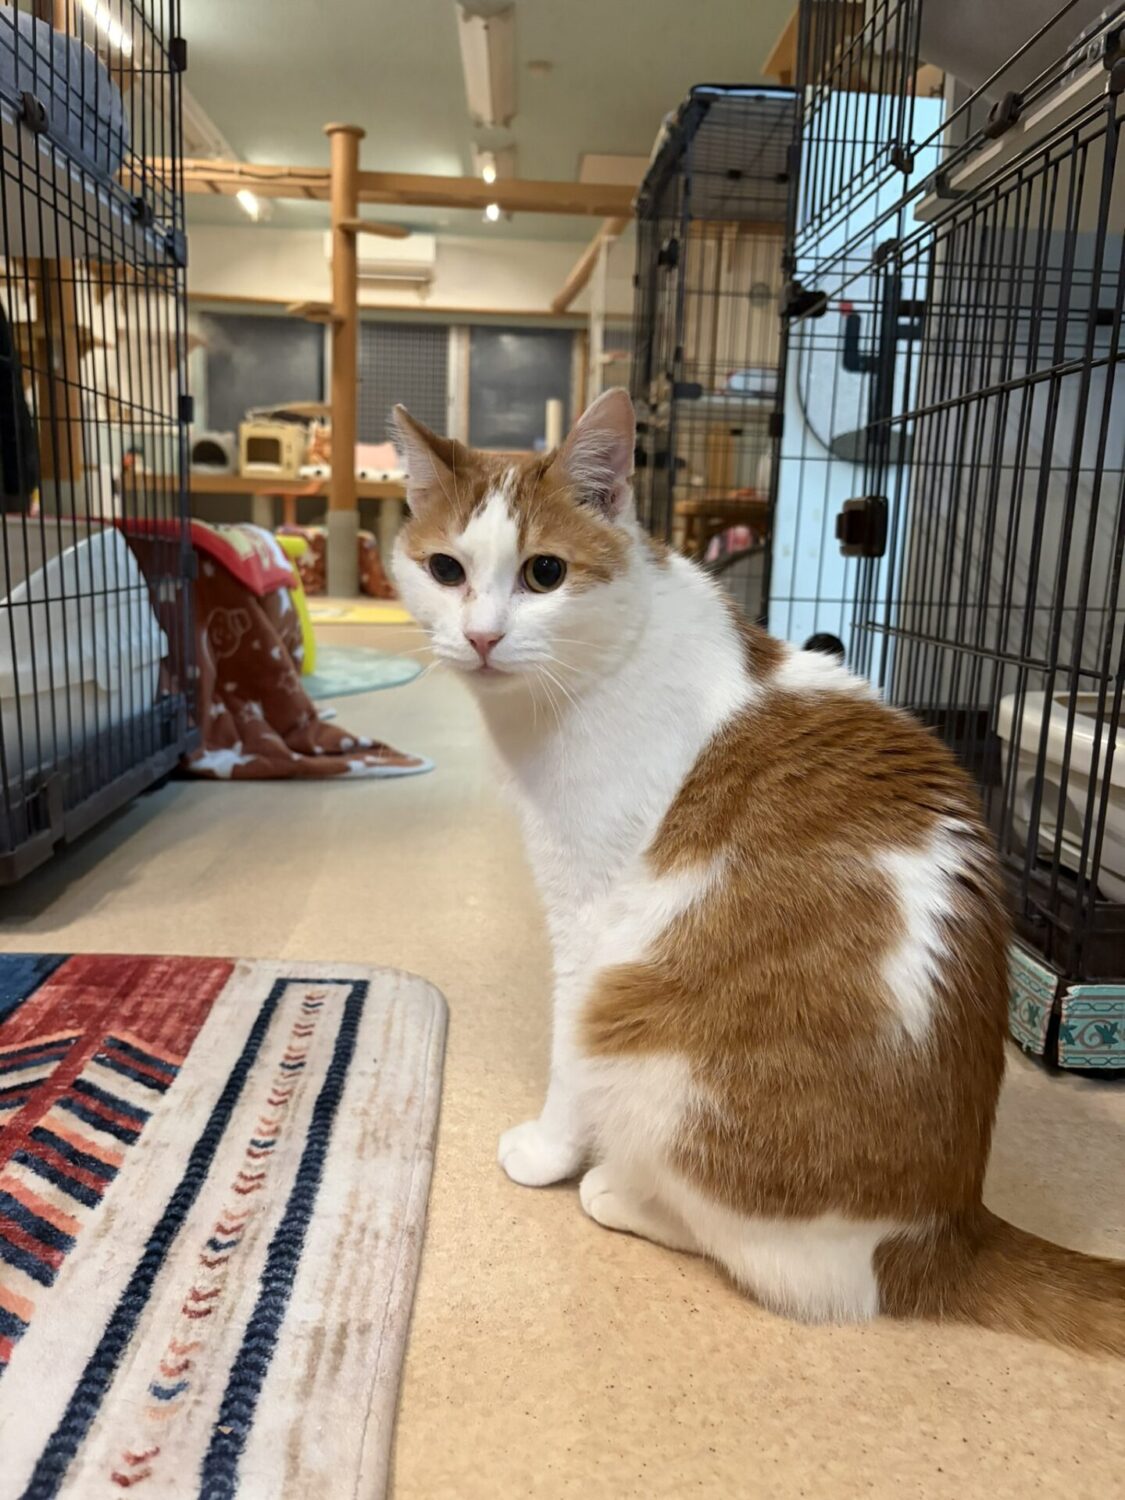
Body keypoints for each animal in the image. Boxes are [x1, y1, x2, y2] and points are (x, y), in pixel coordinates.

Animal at [391, 389, 1124, 1353]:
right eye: (444, 569)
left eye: (544, 574)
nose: (479, 637)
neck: (611, 656)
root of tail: (945, 1232)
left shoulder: (590, 911)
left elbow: (564, 1059)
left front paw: (549, 1153)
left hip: (644, 1035)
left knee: (760, 1258)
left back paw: (618, 1193)